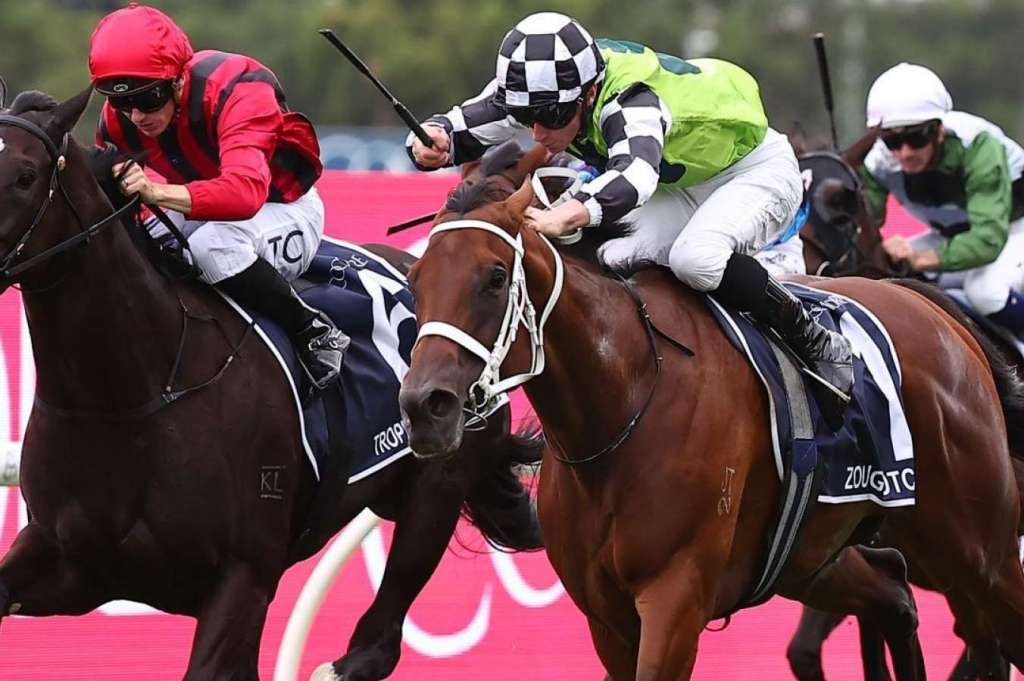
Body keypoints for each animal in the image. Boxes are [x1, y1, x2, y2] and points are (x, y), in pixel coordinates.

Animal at [0, 87, 544, 681]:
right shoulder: (73, 563)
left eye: (24, 176)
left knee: (378, 642)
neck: (131, 395)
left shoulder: (244, 577)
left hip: (437, 483)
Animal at [399, 140, 1024, 680]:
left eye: (495, 276)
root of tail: (927, 307)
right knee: (897, 594)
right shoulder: (608, 618)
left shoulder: (675, 599)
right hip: (819, 554)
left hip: (981, 548)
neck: (621, 407)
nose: (425, 406)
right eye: (415, 278)